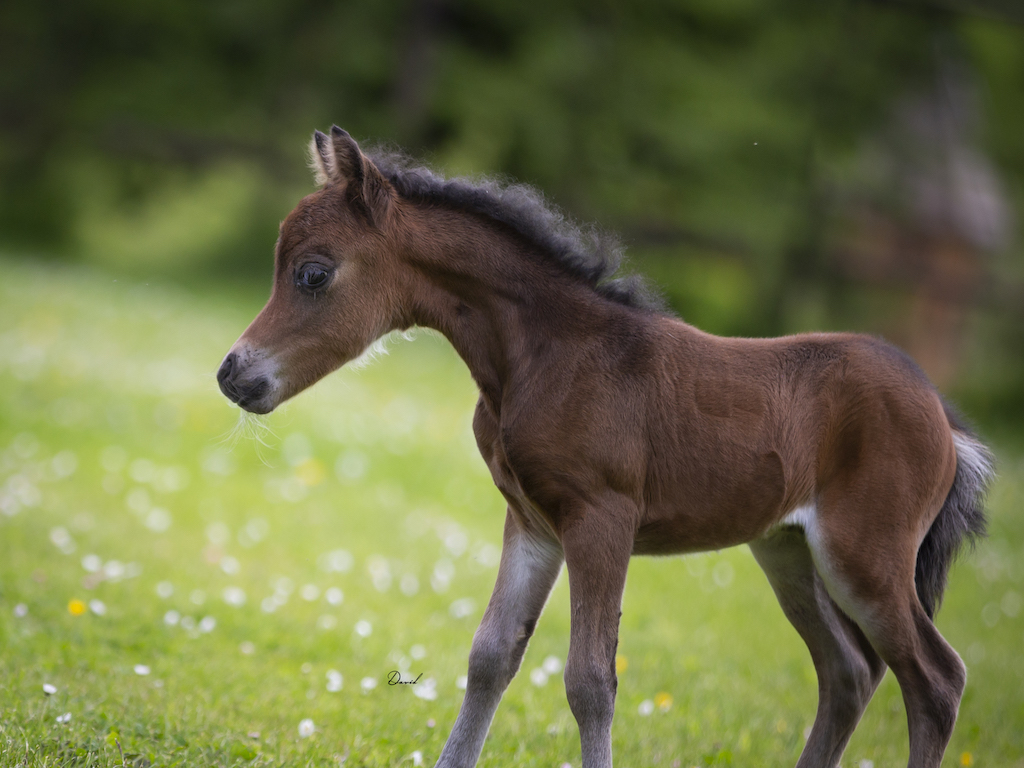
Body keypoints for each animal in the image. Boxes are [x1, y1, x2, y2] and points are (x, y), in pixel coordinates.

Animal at [217, 126, 993, 768]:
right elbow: (490, 657)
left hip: (865, 556)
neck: (544, 356)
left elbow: (590, 680)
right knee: (848, 673)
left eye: (313, 273)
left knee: (936, 679)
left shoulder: (602, 520)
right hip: (788, 550)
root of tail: (944, 417)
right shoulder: (532, 521)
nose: (232, 374)